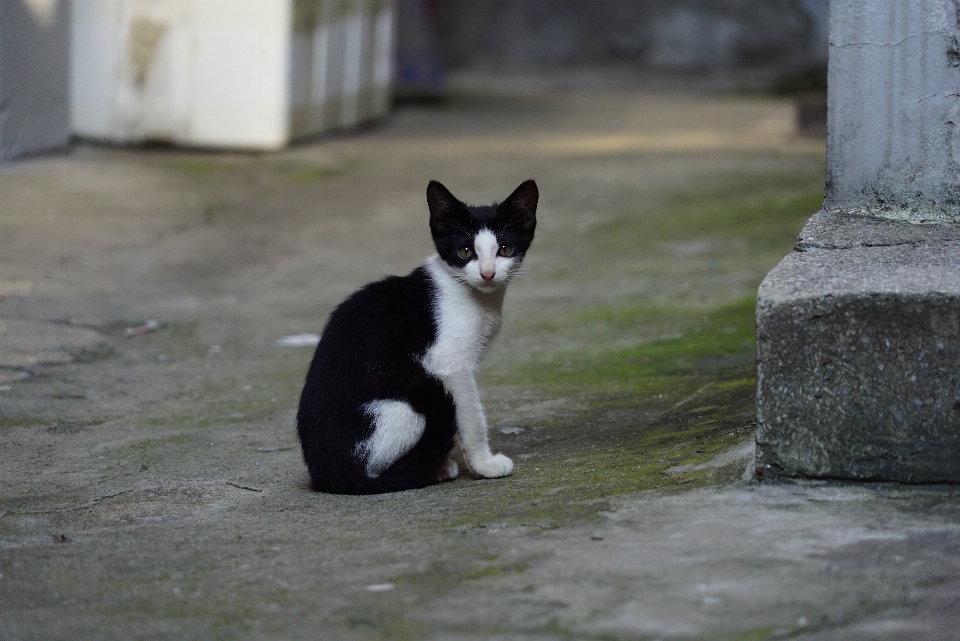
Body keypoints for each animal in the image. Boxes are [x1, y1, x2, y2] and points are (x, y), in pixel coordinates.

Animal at [296, 180, 536, 496]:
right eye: (465, 251)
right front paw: (484, 466)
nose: (487, 274)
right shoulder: (449, 364)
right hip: (405, 406)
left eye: (505, 249)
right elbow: (470, 417)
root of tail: (329, 471)